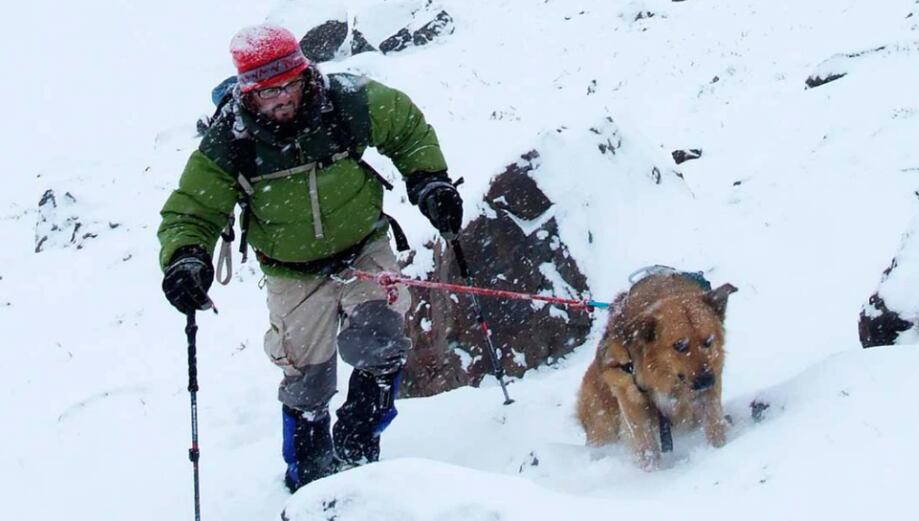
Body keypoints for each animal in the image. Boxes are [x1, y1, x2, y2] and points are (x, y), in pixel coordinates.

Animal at [580, 272, 736, 468]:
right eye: (680, 346)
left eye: (708, 341)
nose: (707, 380)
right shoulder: (632, 401)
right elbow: (645, 444)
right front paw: (653, 471)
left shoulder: (710, 385)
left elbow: (714, 421)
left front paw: (719, 447)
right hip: (603, 423)